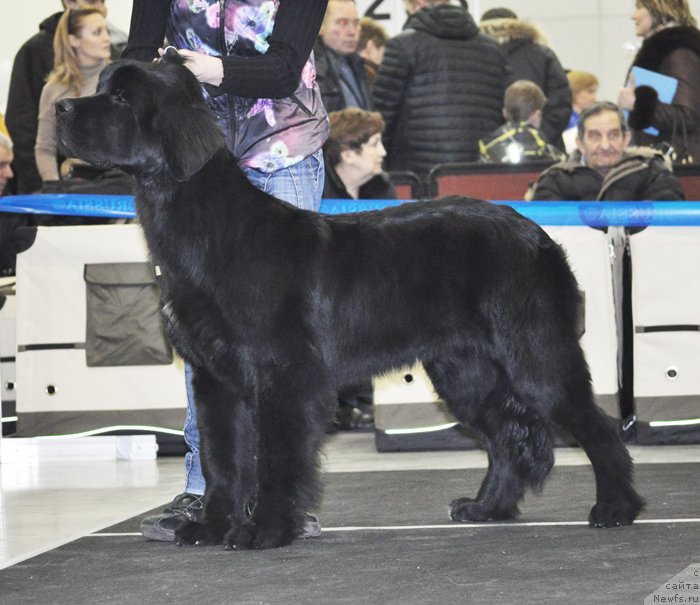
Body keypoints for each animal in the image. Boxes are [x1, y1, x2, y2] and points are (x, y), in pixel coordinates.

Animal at [56, 54, 644, 548]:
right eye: (102, 87)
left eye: (121, 98)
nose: (60, 108)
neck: (207, 229)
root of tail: (538, 235)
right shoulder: (213, 377)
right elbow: (223, 461)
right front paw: (211, 527)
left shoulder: (284, 374)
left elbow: (276, 459)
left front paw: (266, 530)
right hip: (464, 370)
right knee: (506, 435)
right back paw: (486, 508)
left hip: (534, 353)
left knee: (594, 424)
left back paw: (617, 507)